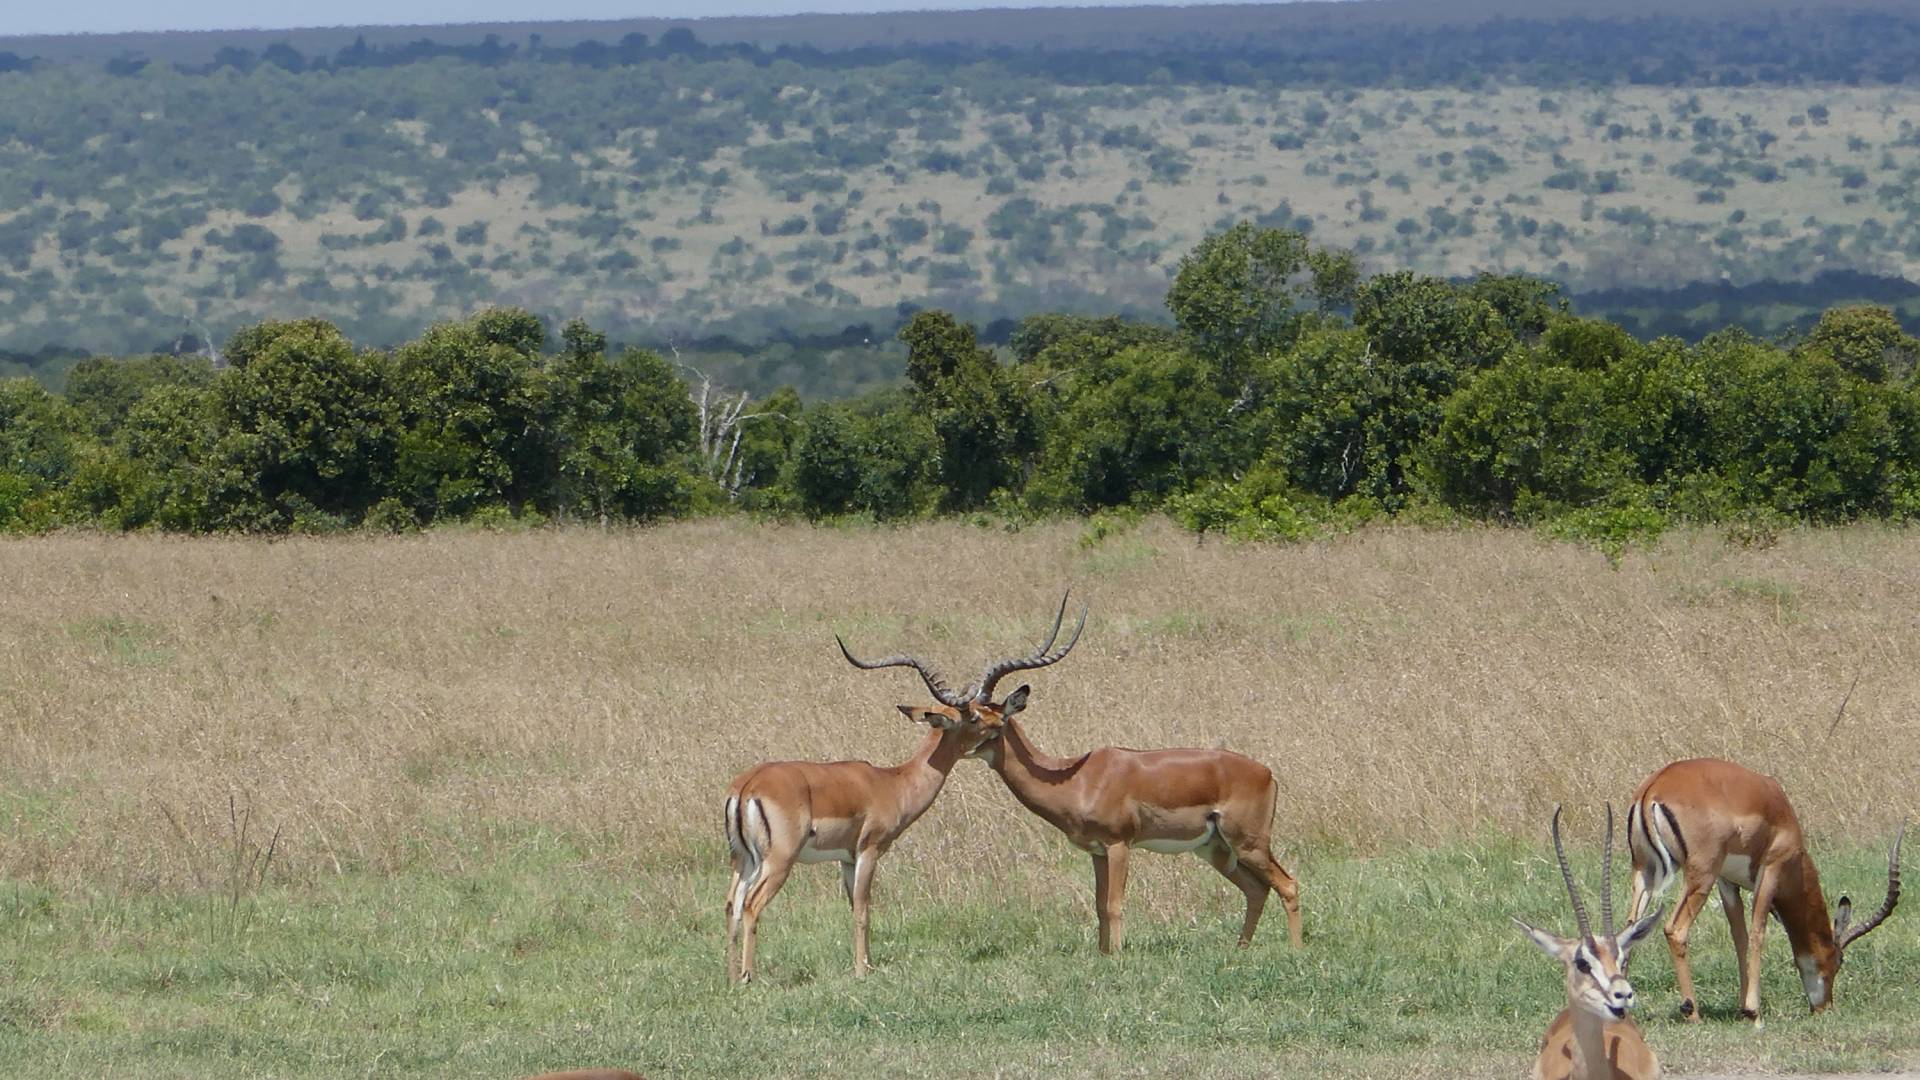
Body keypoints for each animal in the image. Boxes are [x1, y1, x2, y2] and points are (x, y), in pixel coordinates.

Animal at [721, 625, 1038, 984]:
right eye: (972, 716)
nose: (999, 725)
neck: (892, 783)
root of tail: (747, 786)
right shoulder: (869, 851)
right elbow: (862, 908)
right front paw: (862, 972)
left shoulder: (846, 858)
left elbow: (855, 906)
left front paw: (867, 964)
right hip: (778, 861)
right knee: (751, 905)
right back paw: (747, 978)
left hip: (743, 860)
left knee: (732, 904)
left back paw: (731, 978)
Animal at [898, 593, 1304, 952]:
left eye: (980, 719)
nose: (953, 749)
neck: (1074, 778)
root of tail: (1266, 773)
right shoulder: (1096, 851)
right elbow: (1097, 905)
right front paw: (1103, 954)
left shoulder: (1118, 845)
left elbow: (1114, 904)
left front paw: (1119, 956)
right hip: (1216, 849)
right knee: (1256, 889)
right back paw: (1241, 949)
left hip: (1249, 843)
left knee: (1288, 884)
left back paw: (1294, 950)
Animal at [1625, 757, 1904, 1024]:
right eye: (1839, 960)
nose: (1824, 1008)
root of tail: (1654, 789)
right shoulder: (1772, 869)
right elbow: (1758, 933)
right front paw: (1753, 1011)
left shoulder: (1727, 882)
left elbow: (1740, 936)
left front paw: (1742, 1007)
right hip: (1700, 876)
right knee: (1675, 930)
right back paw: (1692, 1013)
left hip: (1645, 873)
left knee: (1630, 926)